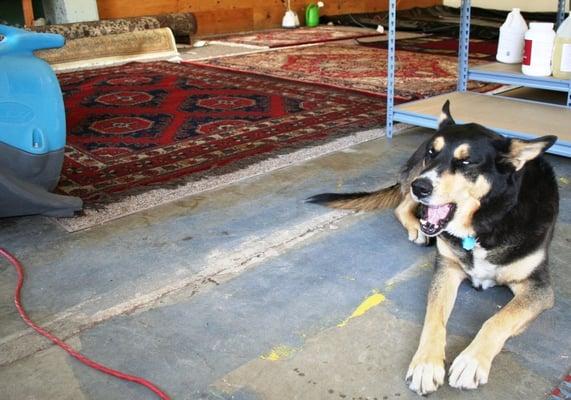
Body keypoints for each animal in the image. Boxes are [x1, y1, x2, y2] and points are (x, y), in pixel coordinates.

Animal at [308, 101, 560, 396]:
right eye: (433, 153)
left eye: (466, 162)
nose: (421, 187)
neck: (486, 221)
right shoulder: (447, 268)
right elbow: (434, 318)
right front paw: (426, 365)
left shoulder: (539, 288)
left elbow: (499, 319)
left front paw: (471, 361)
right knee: (402, 205)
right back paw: (417, 228)